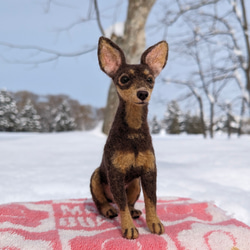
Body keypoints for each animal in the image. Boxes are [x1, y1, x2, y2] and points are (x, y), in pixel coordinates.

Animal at [90, 36, 168, 239]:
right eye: (124, 79)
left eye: (150, 79)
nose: (142, 93)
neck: (133, 132)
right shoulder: (116, 173)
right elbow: (122, 206)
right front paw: (130, 229)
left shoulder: (149, 171)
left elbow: (151, 201)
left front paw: (154, 223)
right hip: (96, 178)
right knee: (103, 202)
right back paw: (108, 209)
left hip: (134, 184)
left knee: (131, 202)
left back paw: (134, 211)